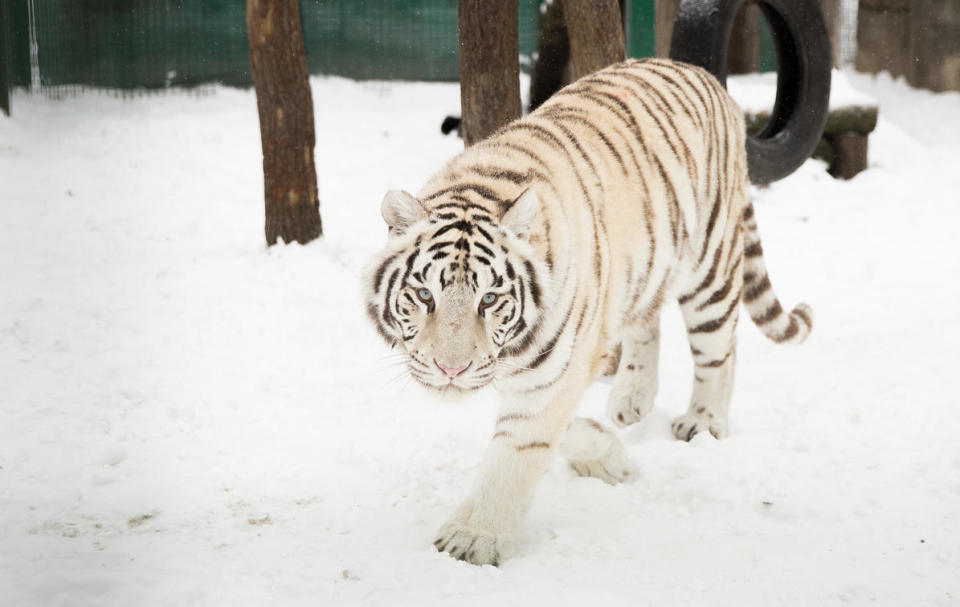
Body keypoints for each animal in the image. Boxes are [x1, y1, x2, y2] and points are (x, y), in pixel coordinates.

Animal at [366, 59, 808, 568]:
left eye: (489, 300)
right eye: (424, 294)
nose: (450, 369)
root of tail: (704, 75)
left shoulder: (555, 370)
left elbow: (516, 453)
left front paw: (474, 540)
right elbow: (551, 429)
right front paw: (606, 456)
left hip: (710, 267)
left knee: (720, 349)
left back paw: (703, 422)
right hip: (646, 267)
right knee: (647, 322)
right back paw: (631, 399)